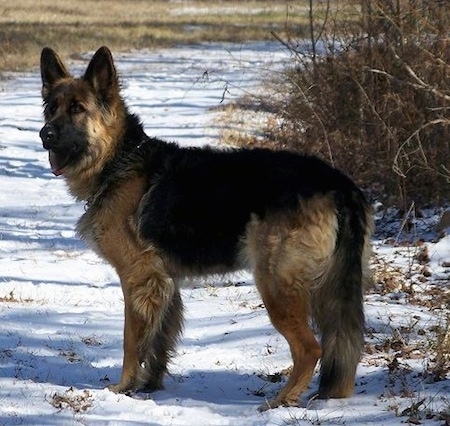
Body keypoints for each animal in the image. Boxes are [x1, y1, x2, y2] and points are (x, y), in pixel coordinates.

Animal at [40, 45, 374, 410]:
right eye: (50, 108)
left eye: (77, 109)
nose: (45, 134)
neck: (118, 159)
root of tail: (339, 184)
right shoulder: (164, 284)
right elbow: (159, 341)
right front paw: (148, 386)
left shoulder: (137, 279)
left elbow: (131, 342)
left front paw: (123, 388)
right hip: (329, 290)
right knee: (342, 347)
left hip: (276, 286)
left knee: (310, 348)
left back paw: (280, 402)